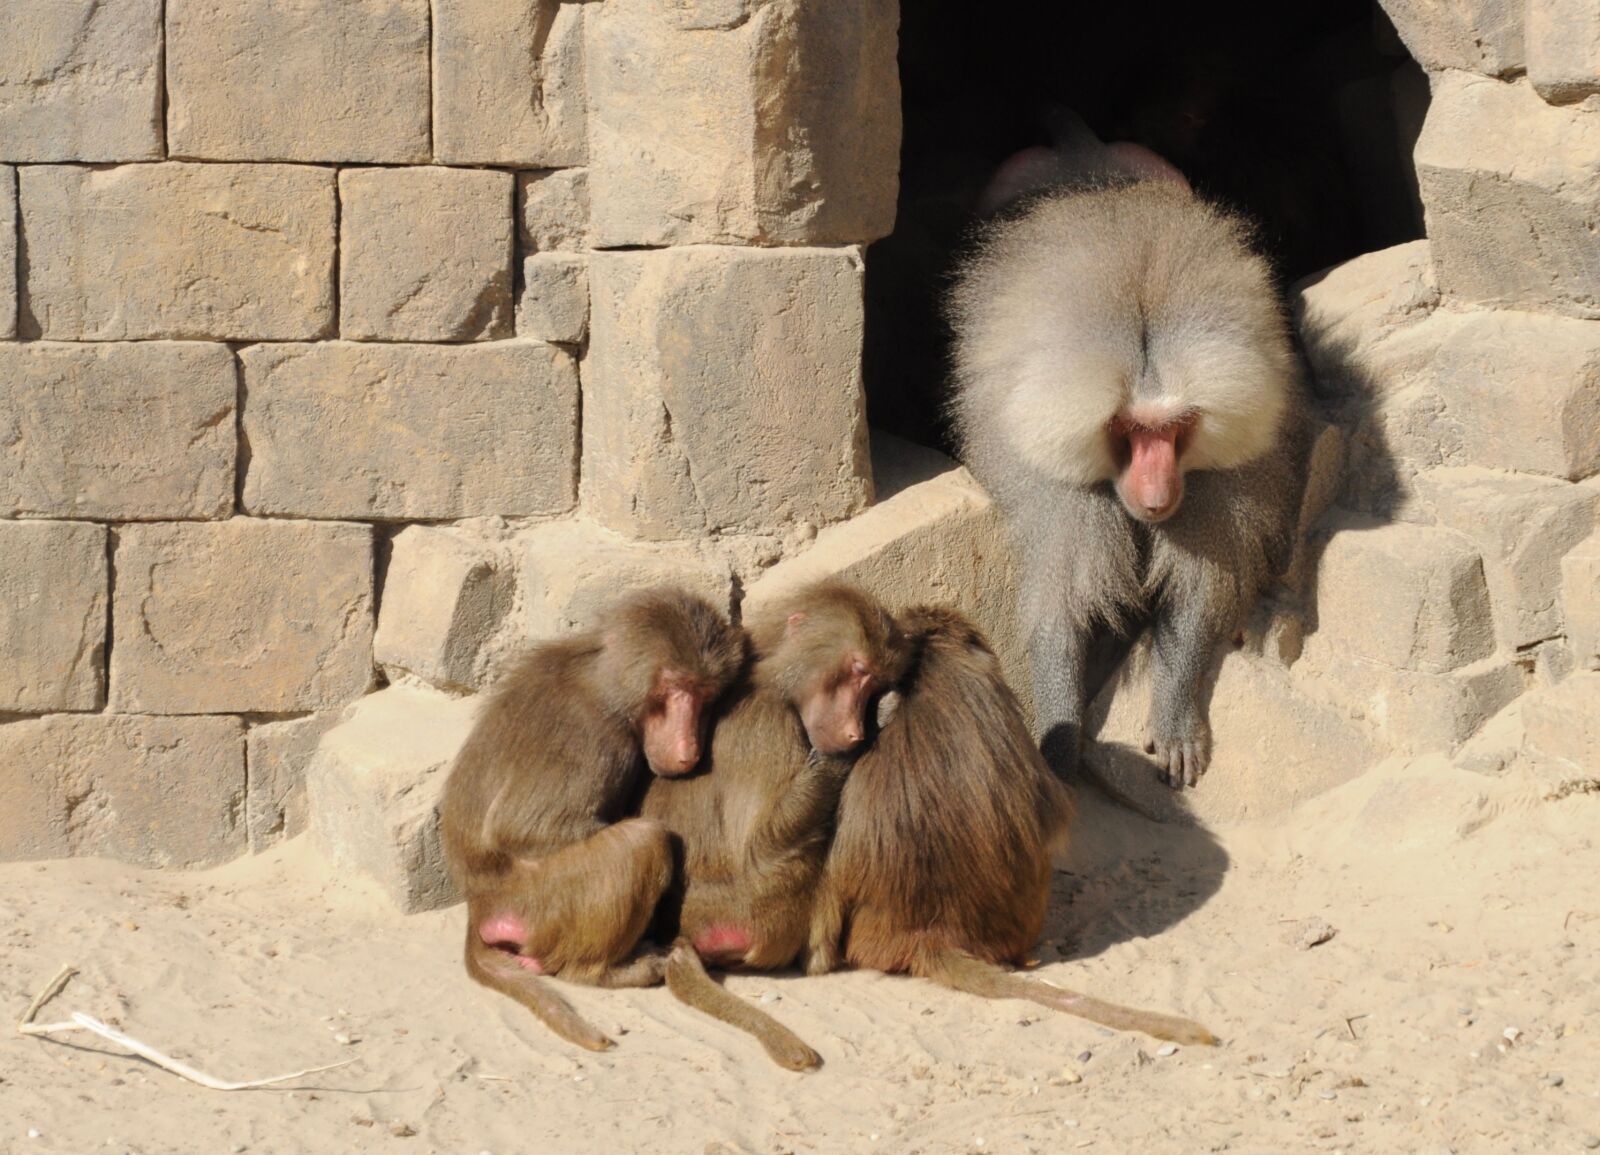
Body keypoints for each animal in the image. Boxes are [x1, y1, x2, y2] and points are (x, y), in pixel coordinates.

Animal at [437, 586, 744, 1052]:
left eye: (704, 693)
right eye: (675, 688)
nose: (687, 748)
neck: (607, 683)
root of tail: (481, 904)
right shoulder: (594, 738)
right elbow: (520, 828)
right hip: (544, 905)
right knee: (642, 843)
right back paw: (603, 972)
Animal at [639, 581, 911, 1070]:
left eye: (875, 682)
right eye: (857, 671)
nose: (855, 733)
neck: (772, 679)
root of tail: (687, 928)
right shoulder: (769, 725)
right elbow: (762, 846)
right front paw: (848, 751)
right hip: (764, 914)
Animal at [948, 173, 1309, 789]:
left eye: (1175, 427)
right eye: (1128, 429)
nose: (1158, 497)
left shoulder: (1217, 486)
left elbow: (1196, 591)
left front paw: (1175, 723)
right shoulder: (1060, 493)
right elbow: (1060, 608)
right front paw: (1059, 744)